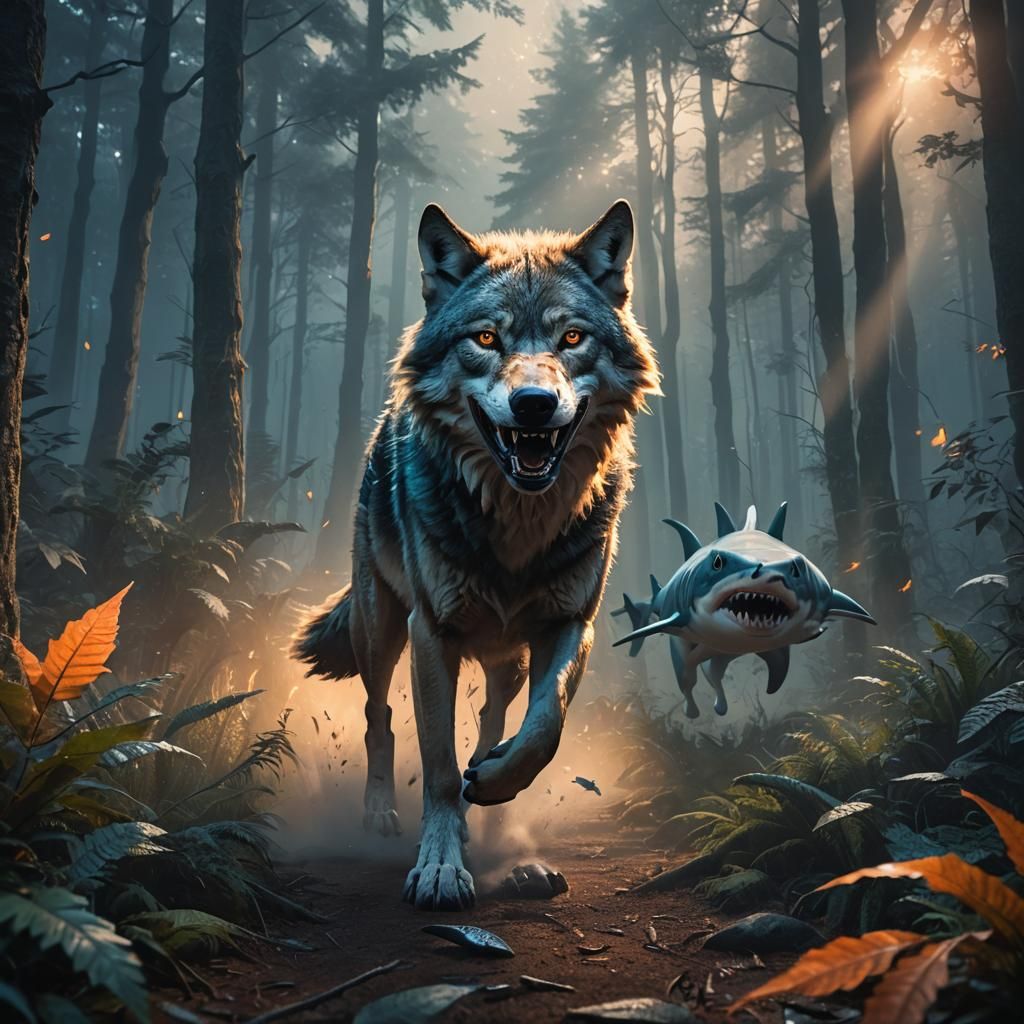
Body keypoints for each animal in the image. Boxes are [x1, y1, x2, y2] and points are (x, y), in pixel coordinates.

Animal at [294, 200, 658, 910]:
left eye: (572, 339)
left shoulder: (570, 625)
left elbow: (544, 727)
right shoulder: (432, 633)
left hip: (505, 659)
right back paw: (381, 814)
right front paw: (439, 866)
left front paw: (495, 797)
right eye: (487, 340)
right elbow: (436, 766)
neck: (516, 525)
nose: (534, 405)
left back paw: (492, 811)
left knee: (494, 718)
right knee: (378, 716)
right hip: (380, 629)